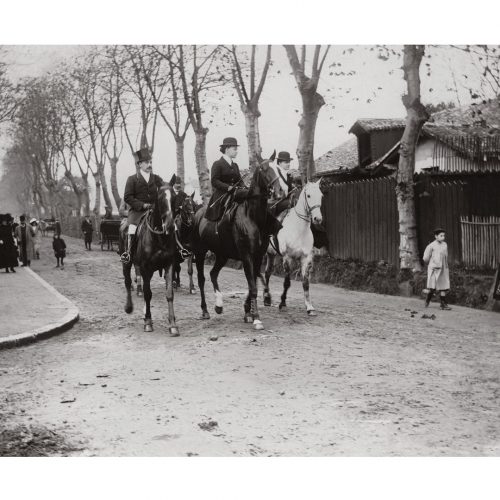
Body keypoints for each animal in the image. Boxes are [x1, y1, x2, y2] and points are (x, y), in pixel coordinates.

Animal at [120, 184, 179, 336]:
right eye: (160, 198)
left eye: (174, 197)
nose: (170, 226)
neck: (159, 238)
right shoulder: (145, 268)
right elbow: (147, 294)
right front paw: (148, 321)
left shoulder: (169, 265)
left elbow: (169, 294)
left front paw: (173, 324)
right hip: (127, 263)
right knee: (128, 282)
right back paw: (129, 307)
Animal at [191, 154, 284, 330]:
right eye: (264, 169)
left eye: (279, 168)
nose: (279, 192)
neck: (253, 216)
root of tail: (198, 213)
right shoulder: (247, 256)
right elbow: (253, 287)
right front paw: (256, 318)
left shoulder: (258, 257)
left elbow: (253, 283)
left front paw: (248, 312)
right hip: (200, 253)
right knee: (201, 279)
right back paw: (205, 310)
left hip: (222, 255)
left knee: (213, 274)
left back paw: (219, 305)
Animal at [262, 180, 324, 316]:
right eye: (309, 195)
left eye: (321, 196)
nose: (317, 219)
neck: (298, 229)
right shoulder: (287, 257)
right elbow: (287, 282)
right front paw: (282, 303)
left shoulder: (306, 258)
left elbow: (305, 283)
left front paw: (309, 307)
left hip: (271, 254)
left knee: (267, 273)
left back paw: (267, 298)